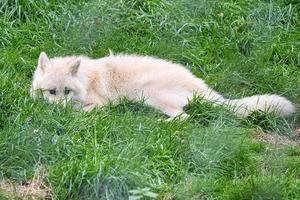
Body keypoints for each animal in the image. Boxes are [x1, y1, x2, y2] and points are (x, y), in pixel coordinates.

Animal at [29, 52, 296, 120]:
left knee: (183, 118)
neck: (86, 79)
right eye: (51, 92)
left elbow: (85, 110)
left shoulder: (101, 104)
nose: (58, 112)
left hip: (148, 94)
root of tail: (200, 85)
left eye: (66, 92)